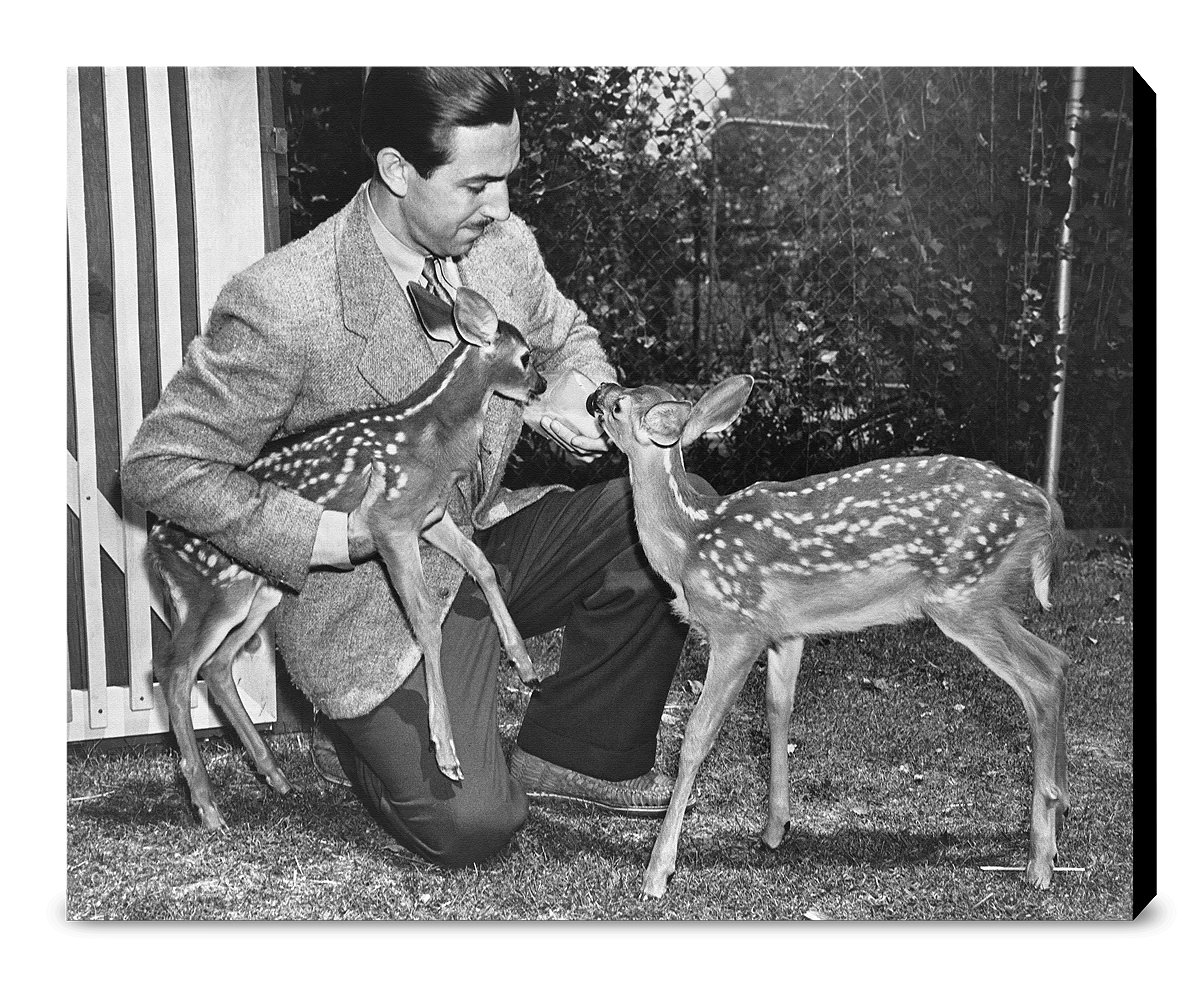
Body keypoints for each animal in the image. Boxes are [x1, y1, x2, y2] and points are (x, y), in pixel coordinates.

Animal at [148, 283, 545, 830]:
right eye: (526, 357)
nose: (542, 385)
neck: (434, 429)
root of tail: (155, 546)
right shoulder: (390, 521)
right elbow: (426, 621)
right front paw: (445, 752)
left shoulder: (429, 516)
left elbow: (481, 564)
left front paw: (524, 664)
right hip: (214, 589)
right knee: (174, 667)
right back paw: (208, 807)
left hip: (261, 591)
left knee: (219, 665)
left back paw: (274, 776)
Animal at [586, 375, 1070, 898]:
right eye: (622, 387)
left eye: (618, 405)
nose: (595, 394)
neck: (689, 545)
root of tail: (1045, 508)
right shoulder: (786, 631)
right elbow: (777, 710)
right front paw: (775, 828)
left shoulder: (738, 627)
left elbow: (697, 734)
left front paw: (657, 872)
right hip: (984, 598)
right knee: (1058, 660)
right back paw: (1060, 817)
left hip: (964, 596)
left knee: (1041, 678)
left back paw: (1040, 862)